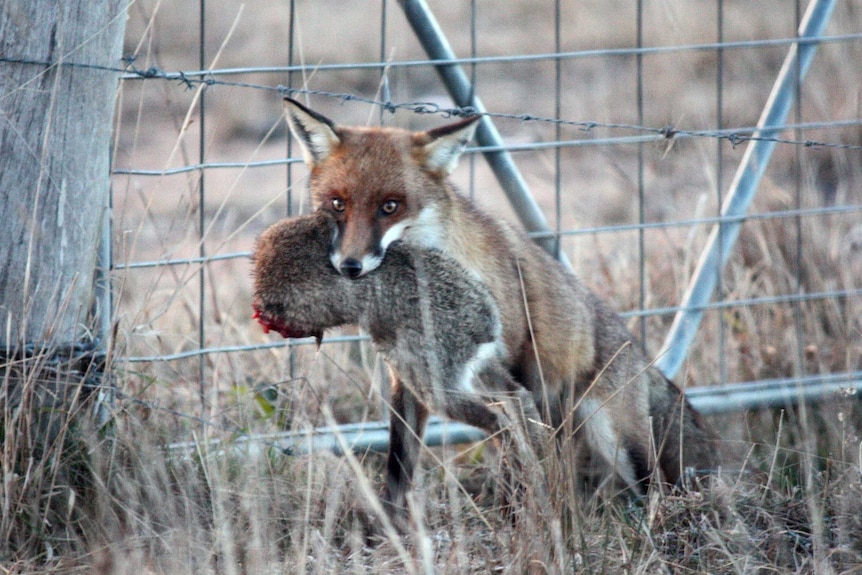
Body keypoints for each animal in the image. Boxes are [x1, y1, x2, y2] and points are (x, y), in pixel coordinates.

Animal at [251, 212, 548, 516]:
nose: (262, 311)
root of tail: (485, 323)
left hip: (439, 382)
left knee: (497, 420)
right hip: (474, 369)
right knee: (517, 398)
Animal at [282, 97, 716, 498]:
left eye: (390, 206)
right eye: (338, 204)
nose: (350, 266)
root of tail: (641, 354)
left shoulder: (506, 364)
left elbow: (519, 450)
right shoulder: (409, 377)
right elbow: (398, 471)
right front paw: (393, 528)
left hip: (618, 440)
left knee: (655, 488)